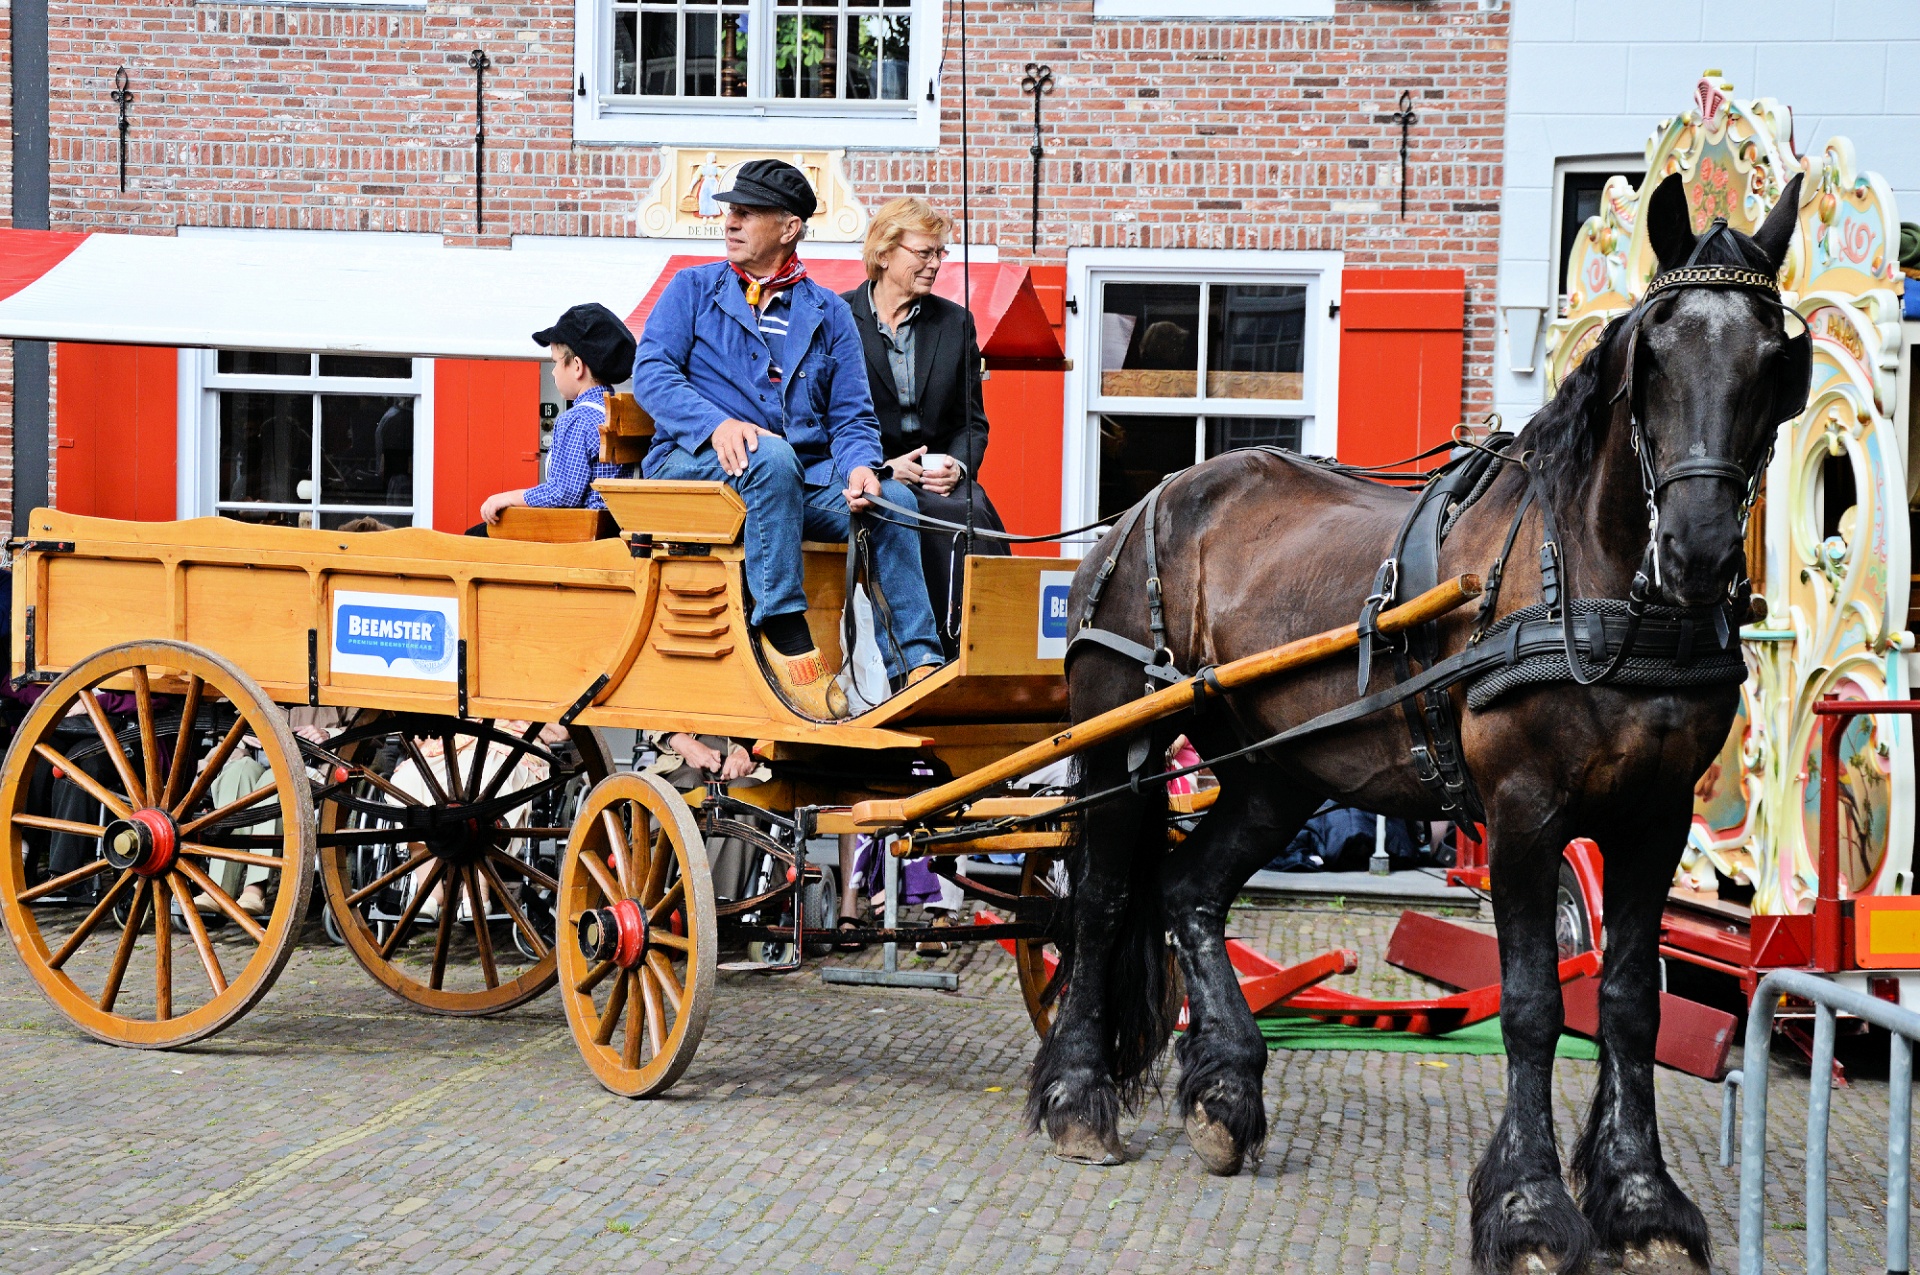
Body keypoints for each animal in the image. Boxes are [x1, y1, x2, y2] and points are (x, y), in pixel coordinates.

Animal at [1029, 171, 1804, 1275]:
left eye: (1776, 361)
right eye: (1651, 355)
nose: (1697, 551)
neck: (1596, 582)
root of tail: (1154, 501)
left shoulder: (1653, 819)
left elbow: (1629, 1000)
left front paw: (1642, 1199)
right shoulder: (1524, 812)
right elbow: (1532, 1005)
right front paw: (1529, 1209)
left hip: (1276, 772)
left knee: (1188, 889)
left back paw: (1226, 1092)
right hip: (1116, 745)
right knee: (1097, 903)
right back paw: (1079, 1098)